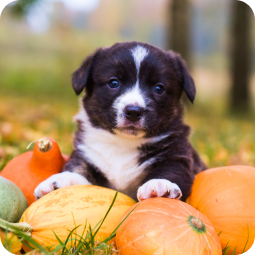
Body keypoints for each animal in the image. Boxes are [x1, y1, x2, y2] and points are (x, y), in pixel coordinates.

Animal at [34, 41, 205, 201]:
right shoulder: (85, 153)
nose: (134, 112)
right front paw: (58, 181)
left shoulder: (178, 156)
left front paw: (159, 184)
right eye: (113, 83)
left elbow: (171, 170)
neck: (123, 142)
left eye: (159, 88)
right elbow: (78, 168)